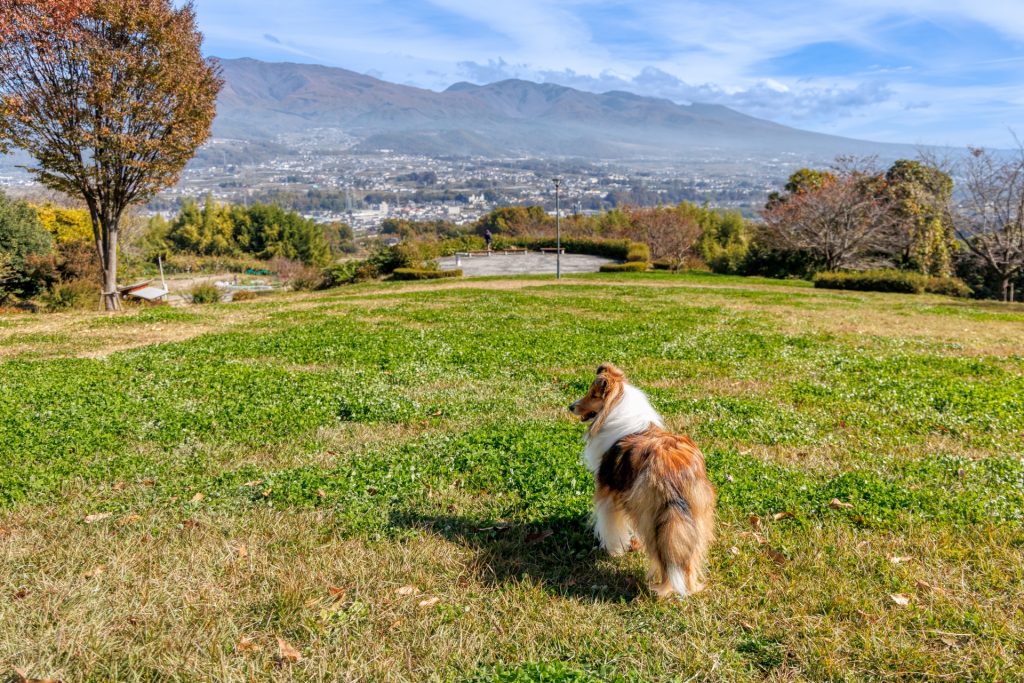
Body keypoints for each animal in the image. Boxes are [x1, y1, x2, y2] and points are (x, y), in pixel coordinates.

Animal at [569, 362, 720, 598]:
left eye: (593, 394)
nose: (571, 407)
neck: (615, 407)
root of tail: (673, 467)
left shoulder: (608, 492)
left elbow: (610, 525)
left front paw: (613, 550)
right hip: (695, 515)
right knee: (688, 556)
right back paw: (691, 587)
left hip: (653, 517)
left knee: (664, 558)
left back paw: (663, 591)